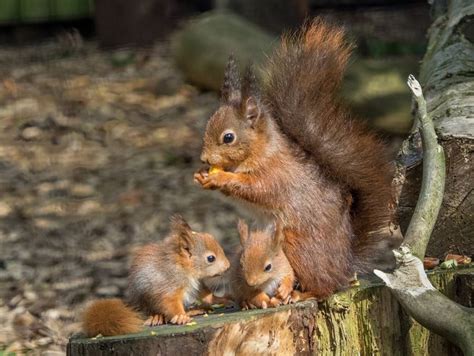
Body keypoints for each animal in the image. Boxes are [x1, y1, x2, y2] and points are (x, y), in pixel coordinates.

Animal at [82, 214, 231, 336]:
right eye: (211, 258)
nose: (228, 266)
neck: (184, 268)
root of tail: (134, 304)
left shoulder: (198, 284)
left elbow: (206, 296)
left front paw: (222, 299)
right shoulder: (169, 285)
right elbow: (170, 302)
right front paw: (180, 316)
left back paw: (193, 310)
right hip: (146, 299)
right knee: (155, 311)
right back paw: (157, 317)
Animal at [193, 18, 396, 298]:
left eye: (228, 137)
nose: (204, 159)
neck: (261, 151)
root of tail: (345, 266)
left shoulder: (276, 175)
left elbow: (256, 188)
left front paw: (220, 177)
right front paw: (201, 176)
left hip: (298, 246)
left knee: (324, 286)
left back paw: (304, 292)